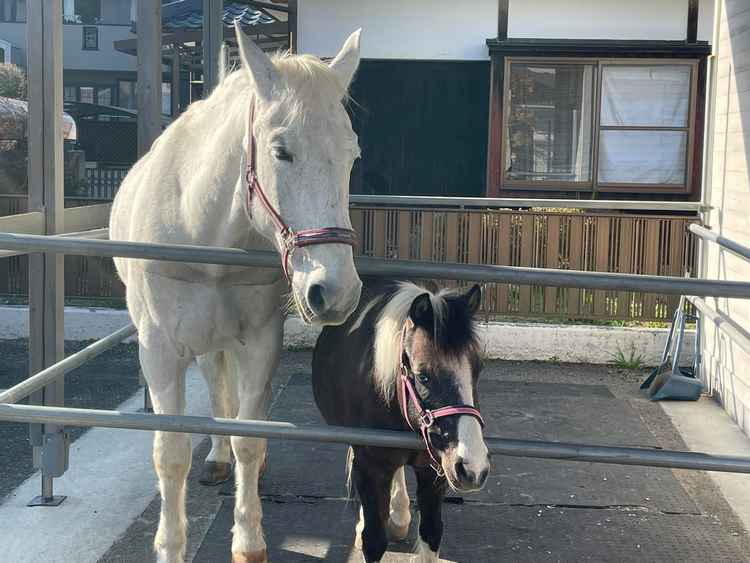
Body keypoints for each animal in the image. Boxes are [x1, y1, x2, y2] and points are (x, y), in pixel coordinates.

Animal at [109, 24, 364, 563]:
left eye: (352, 155)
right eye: (281, 151)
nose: (336, 291)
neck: (202, 227)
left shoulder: (261, 341)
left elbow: (251, 435)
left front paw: (248, 541)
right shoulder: (160, 350)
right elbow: (171, 453)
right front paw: (171, 544)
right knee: (216, 388)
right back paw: (216, 457)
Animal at [312, 280, 491, 562]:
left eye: (477, 370)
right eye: (423, 376)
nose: (473, 468)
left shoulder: (433, 473)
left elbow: (431, 533)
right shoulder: (371, 469)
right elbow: (373, 540)